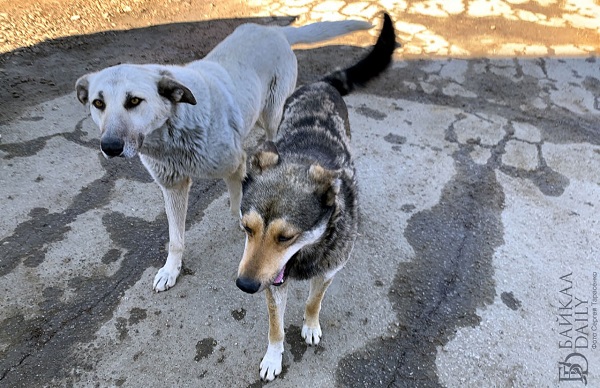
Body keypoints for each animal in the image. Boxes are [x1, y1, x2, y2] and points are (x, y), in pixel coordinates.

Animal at [72, 18, 368, 292]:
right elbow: (175, 238)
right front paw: (171, 270)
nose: (110, 147)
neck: (175, 131)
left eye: (134, 101)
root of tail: (271, 30)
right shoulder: (172, 186)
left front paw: (244, 222)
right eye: (98, 103)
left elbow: (238, 203)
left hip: (274, 115)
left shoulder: (234, 166)